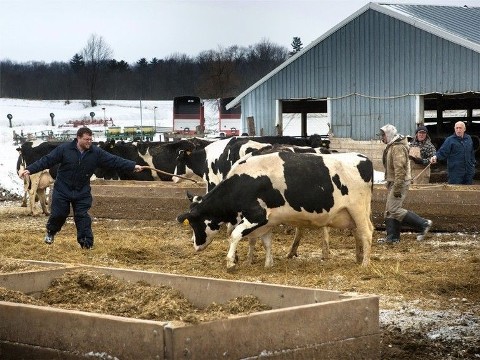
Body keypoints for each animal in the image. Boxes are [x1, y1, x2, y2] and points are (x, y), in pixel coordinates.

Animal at [177, 150, 376, 272]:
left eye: (194, 223)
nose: (194, 244)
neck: (243, 183)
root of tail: (362, 157)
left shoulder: (257, 216)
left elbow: (234, 235)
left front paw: (231, 262)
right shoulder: (267, 221)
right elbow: (266, 242)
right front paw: (268, 264)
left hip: (358, 209)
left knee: (366, 232)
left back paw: (365, 264)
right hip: (352, 213)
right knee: (358, 233)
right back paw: (358, 258)